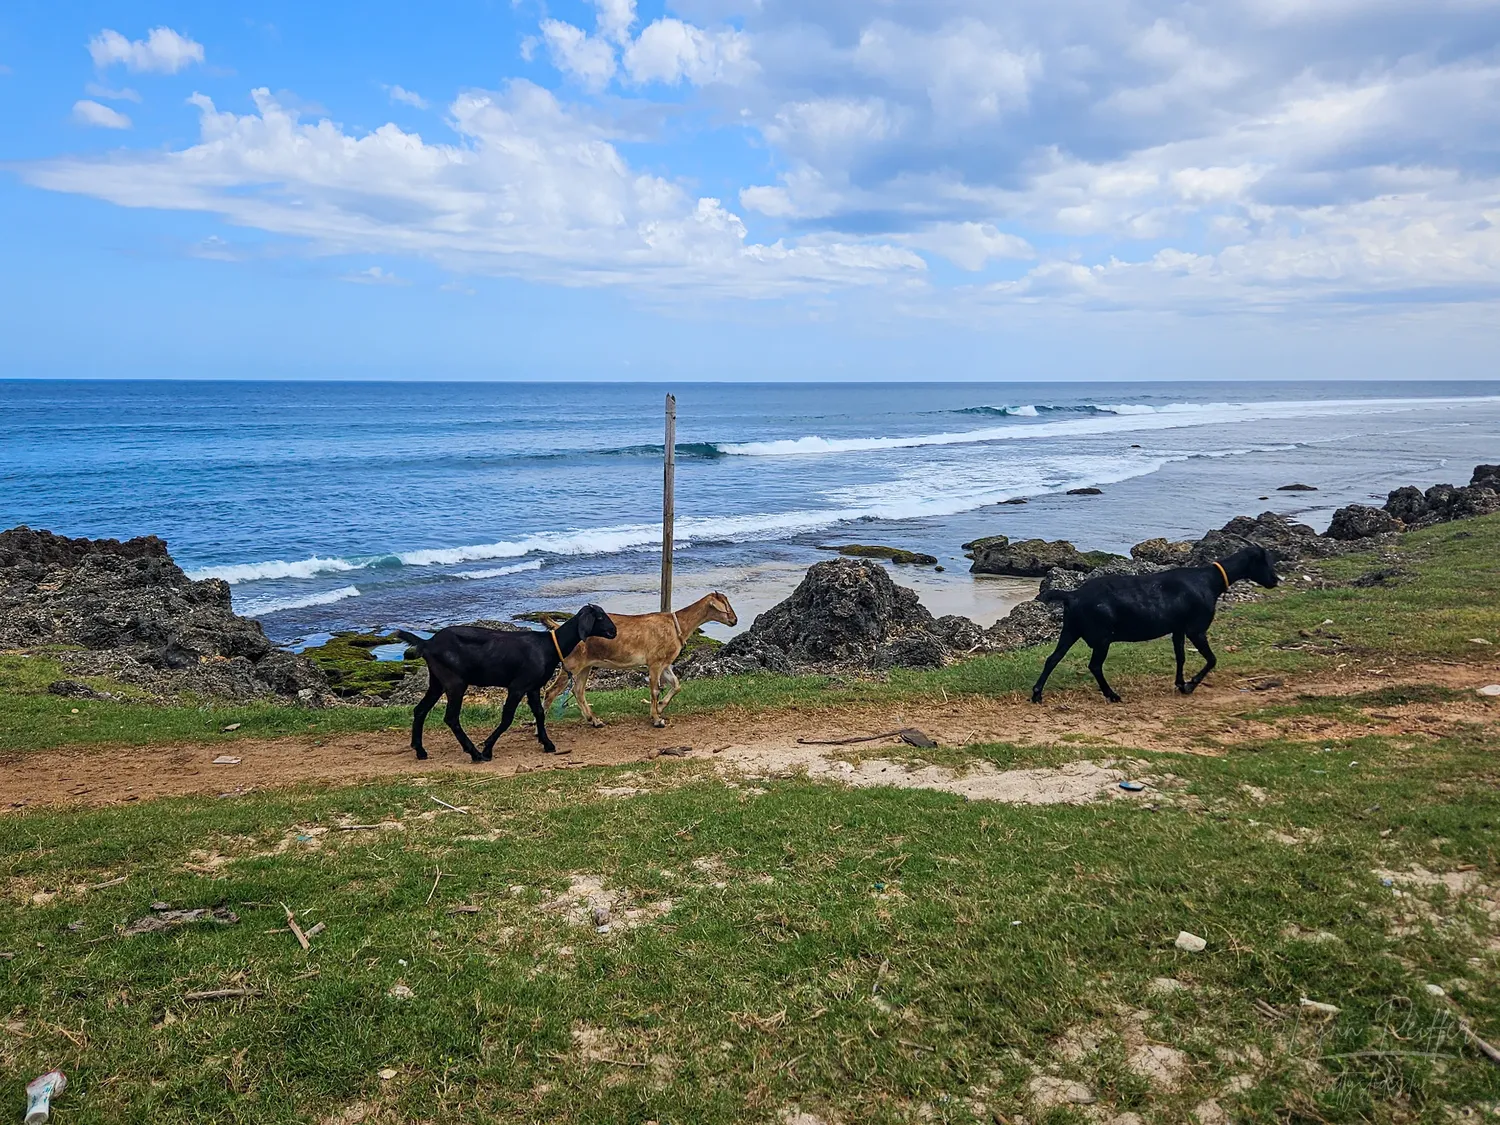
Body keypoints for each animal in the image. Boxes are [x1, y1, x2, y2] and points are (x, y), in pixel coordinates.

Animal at [394, 604, 616, 761]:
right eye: (599, 616)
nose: (614, 631)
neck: (549, 645)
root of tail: (427, 643)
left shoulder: (533, 687)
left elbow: (539, 713)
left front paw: (547, 744)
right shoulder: (517, 686)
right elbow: (507, 718)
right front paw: (487, 748)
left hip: (437, 681)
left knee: (420, 710)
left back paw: (420, 750)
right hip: (454, 682)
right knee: (451, 718)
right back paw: (475, 754)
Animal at [542, 592, 738, 727]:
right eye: (725, 604)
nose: (734, 620)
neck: (677, 625)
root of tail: (558, 629)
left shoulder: (665, 663)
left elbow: (676, 685)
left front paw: (660, 707)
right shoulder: (655, 662)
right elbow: (655, 690)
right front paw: (657, 719)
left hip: (585, 666)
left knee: (578, 690)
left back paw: (595, 721)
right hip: (572, 663)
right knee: (551, 692)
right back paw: (540, 728)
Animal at [1030, 545, 1280, 704]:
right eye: (1264, 561)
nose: (1276, 580)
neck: (1210, 580)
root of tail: (1072, 595)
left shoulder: (1178, 629)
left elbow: (1181, 656)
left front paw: (1180, 683)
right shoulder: (1196, 629)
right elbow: (1212, 659)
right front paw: (1190, 685)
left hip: (1071, 630)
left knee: (1053, 658)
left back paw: (1037, 694)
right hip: (1101, 636)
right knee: (1094, 666)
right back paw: (1112, 695)